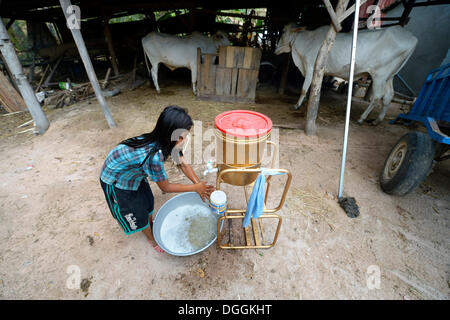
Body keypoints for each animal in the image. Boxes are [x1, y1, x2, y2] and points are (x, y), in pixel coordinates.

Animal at [274, 22, 418, 124]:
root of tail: (412, 37)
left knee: (377, 96)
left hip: (380, 75)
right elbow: (312, 88)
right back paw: (377, 120)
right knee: (389, 96)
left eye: (283, 31)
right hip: (390, 76)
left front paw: (297, 105)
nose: (275, 49)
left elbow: (304, 88)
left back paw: (361, 118)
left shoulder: (310, 67)